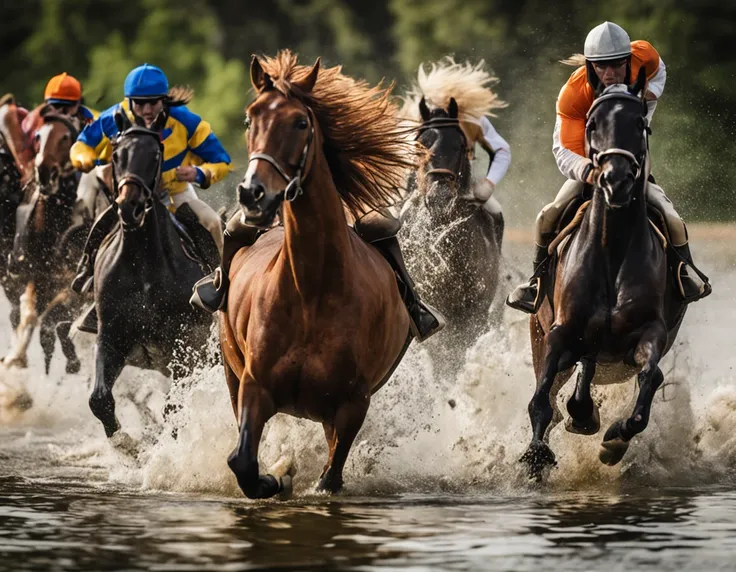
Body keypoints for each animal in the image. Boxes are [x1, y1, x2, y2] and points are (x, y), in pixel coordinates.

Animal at [87, 109, 213, 436]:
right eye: (116, 154)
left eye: (156, 154)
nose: (129, 206)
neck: (143, 266)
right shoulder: (111, 334)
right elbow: (99, 399)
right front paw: (125, 444)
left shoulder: (188, 340)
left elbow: (175, 406)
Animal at [220, 53, 420, 498]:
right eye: (249, 118)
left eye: (300, 122)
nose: (253, 194)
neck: (312, 291)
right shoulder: (254, 387)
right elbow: (242, 463)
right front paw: (278, 473)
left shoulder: (350, 405)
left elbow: (331, 478)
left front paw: (286, 473)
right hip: (230, 371)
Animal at [520, 72, 688, 482]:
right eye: (592, 124)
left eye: (641, 124)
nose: (617, 181)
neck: (612, 250)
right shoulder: (560, 333)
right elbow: (542, 399)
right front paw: (537, 454)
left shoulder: (649, 332)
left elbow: (648, 380)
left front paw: (614, 441)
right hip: (539, 333)